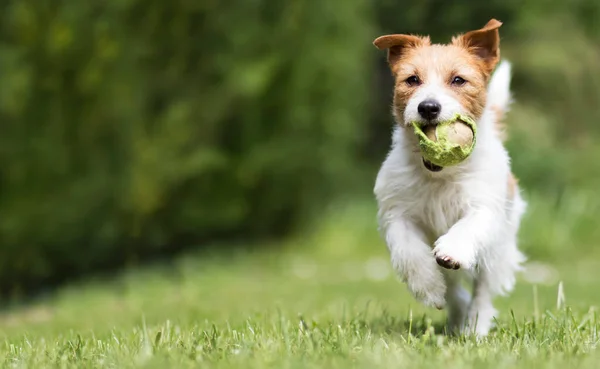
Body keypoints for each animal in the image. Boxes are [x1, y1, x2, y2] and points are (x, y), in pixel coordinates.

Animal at [372, 20, 528, 336]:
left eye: (458, 80)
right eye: (412, 79)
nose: (428, 107)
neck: (439, 174)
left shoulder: (484, 207)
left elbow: (468, 227)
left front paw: (453, 250)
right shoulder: (397, 214)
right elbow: (410, 252)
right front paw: (429, 288)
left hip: (498, 248)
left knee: (482, 289)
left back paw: (475, 326)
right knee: (454, 287)